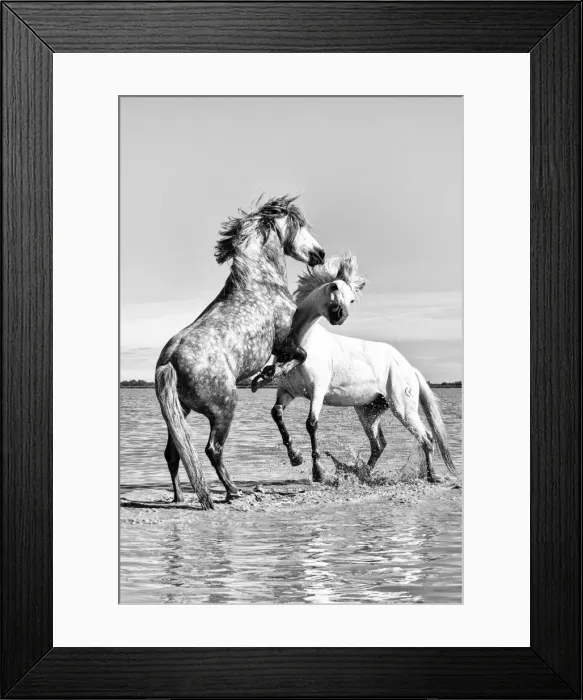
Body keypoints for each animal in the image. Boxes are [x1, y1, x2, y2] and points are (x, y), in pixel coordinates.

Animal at [155, 195, 325, 509]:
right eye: (298, 225)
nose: (319, 253)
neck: (260, 281)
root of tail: (169, 362)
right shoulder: (284, 341)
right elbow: (298, 356)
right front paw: (266, 375)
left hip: (180, 411)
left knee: (174, 453)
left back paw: (179, 496)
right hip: (224, 408)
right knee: (212, 449)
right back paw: (232, 491)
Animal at [253, 253, 459, 484]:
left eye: (352, 299)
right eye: (333, 286)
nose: (339, 314)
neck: (305, 343)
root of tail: (409, 368)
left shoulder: (317, 391)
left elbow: (311, 424)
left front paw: (318, 472)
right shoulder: (287, 391)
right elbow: (276, 413)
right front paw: (295, 457)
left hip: (403, 409)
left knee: (426, 438)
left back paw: (431, 477)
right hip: (368, 411)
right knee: (379, 444)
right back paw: (362, 473)